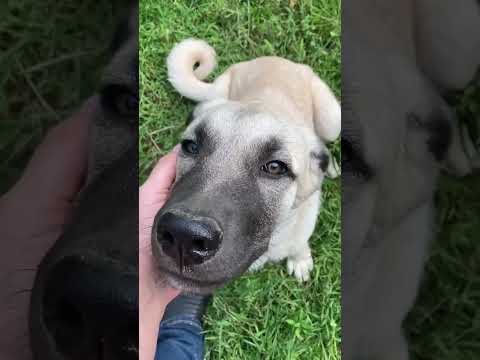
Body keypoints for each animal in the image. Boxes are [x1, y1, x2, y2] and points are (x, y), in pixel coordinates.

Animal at [152, 38, 340, 294]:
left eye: (275, 167)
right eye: (191, 146)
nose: (183, 234)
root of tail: (276, 60)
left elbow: (299, 243)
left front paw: (300, 259)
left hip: (332, 119)